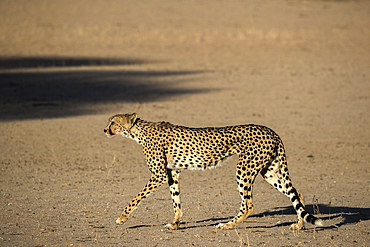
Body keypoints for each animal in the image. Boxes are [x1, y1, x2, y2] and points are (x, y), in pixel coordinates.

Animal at [104, 113, 324, 230]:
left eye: (113, 122)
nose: (104, 130)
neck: (138, 131)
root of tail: (272, 131)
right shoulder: (172, 173)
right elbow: (176, 201)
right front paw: (175, 224)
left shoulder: (158, 175)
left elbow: (137, 197)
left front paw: (122, 217)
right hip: (268, 171)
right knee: (297, 194)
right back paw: (299, 225)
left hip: (244, 169)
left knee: (249, 205)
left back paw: (227, 225)